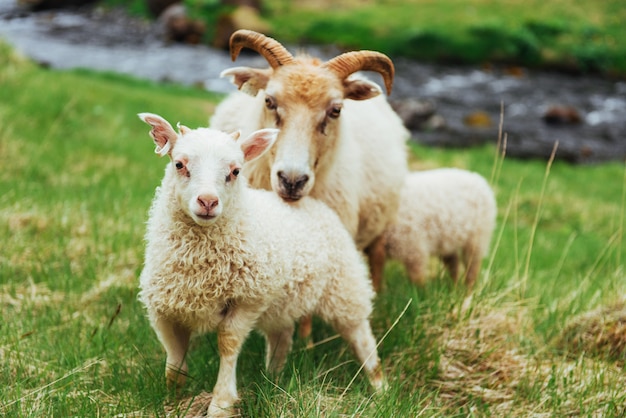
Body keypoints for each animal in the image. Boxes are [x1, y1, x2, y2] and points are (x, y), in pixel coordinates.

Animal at [135, 112, 386, 416]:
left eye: (235, 171)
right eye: (179, 164)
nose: (208, 201)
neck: (200, 264)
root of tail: (315, 204)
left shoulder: (249, 299)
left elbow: (228, 343)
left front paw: (221, 404)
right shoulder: (164, 310)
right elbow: (174, 359)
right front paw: (172, 399)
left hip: (343, 287)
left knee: (361, 336)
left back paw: (380, 387)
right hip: (283, 302)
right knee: (282, 337)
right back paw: (273, 380)